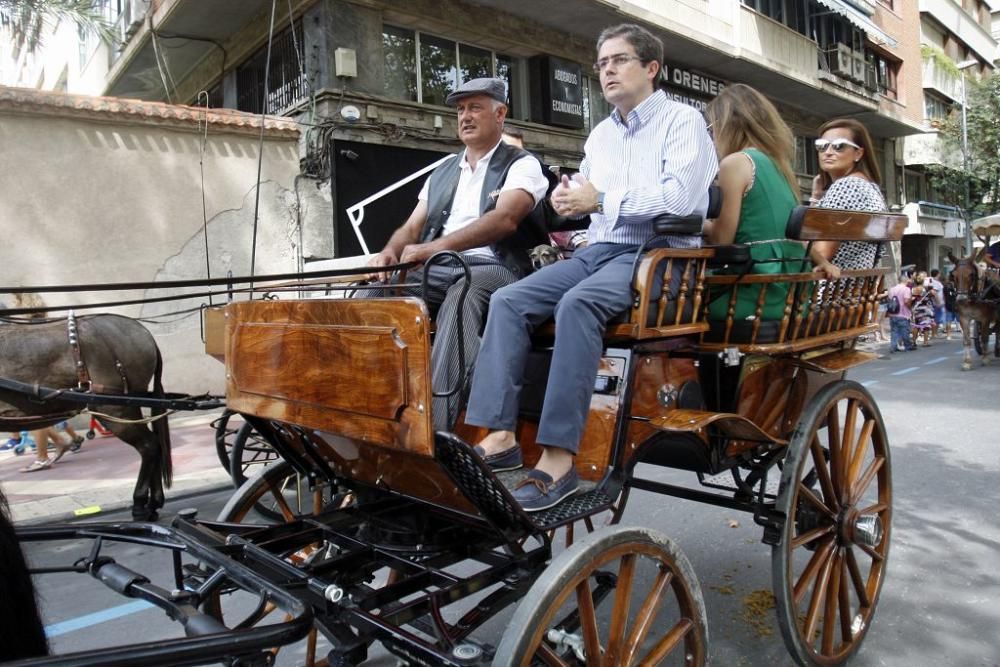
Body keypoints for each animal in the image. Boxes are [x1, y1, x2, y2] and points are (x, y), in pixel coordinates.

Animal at [0, 314, 172, 520]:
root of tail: (143, 332)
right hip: (128, 405)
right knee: (154, 444)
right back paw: (153, 504)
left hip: (113, 408)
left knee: (149, 445)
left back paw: (139, 503)